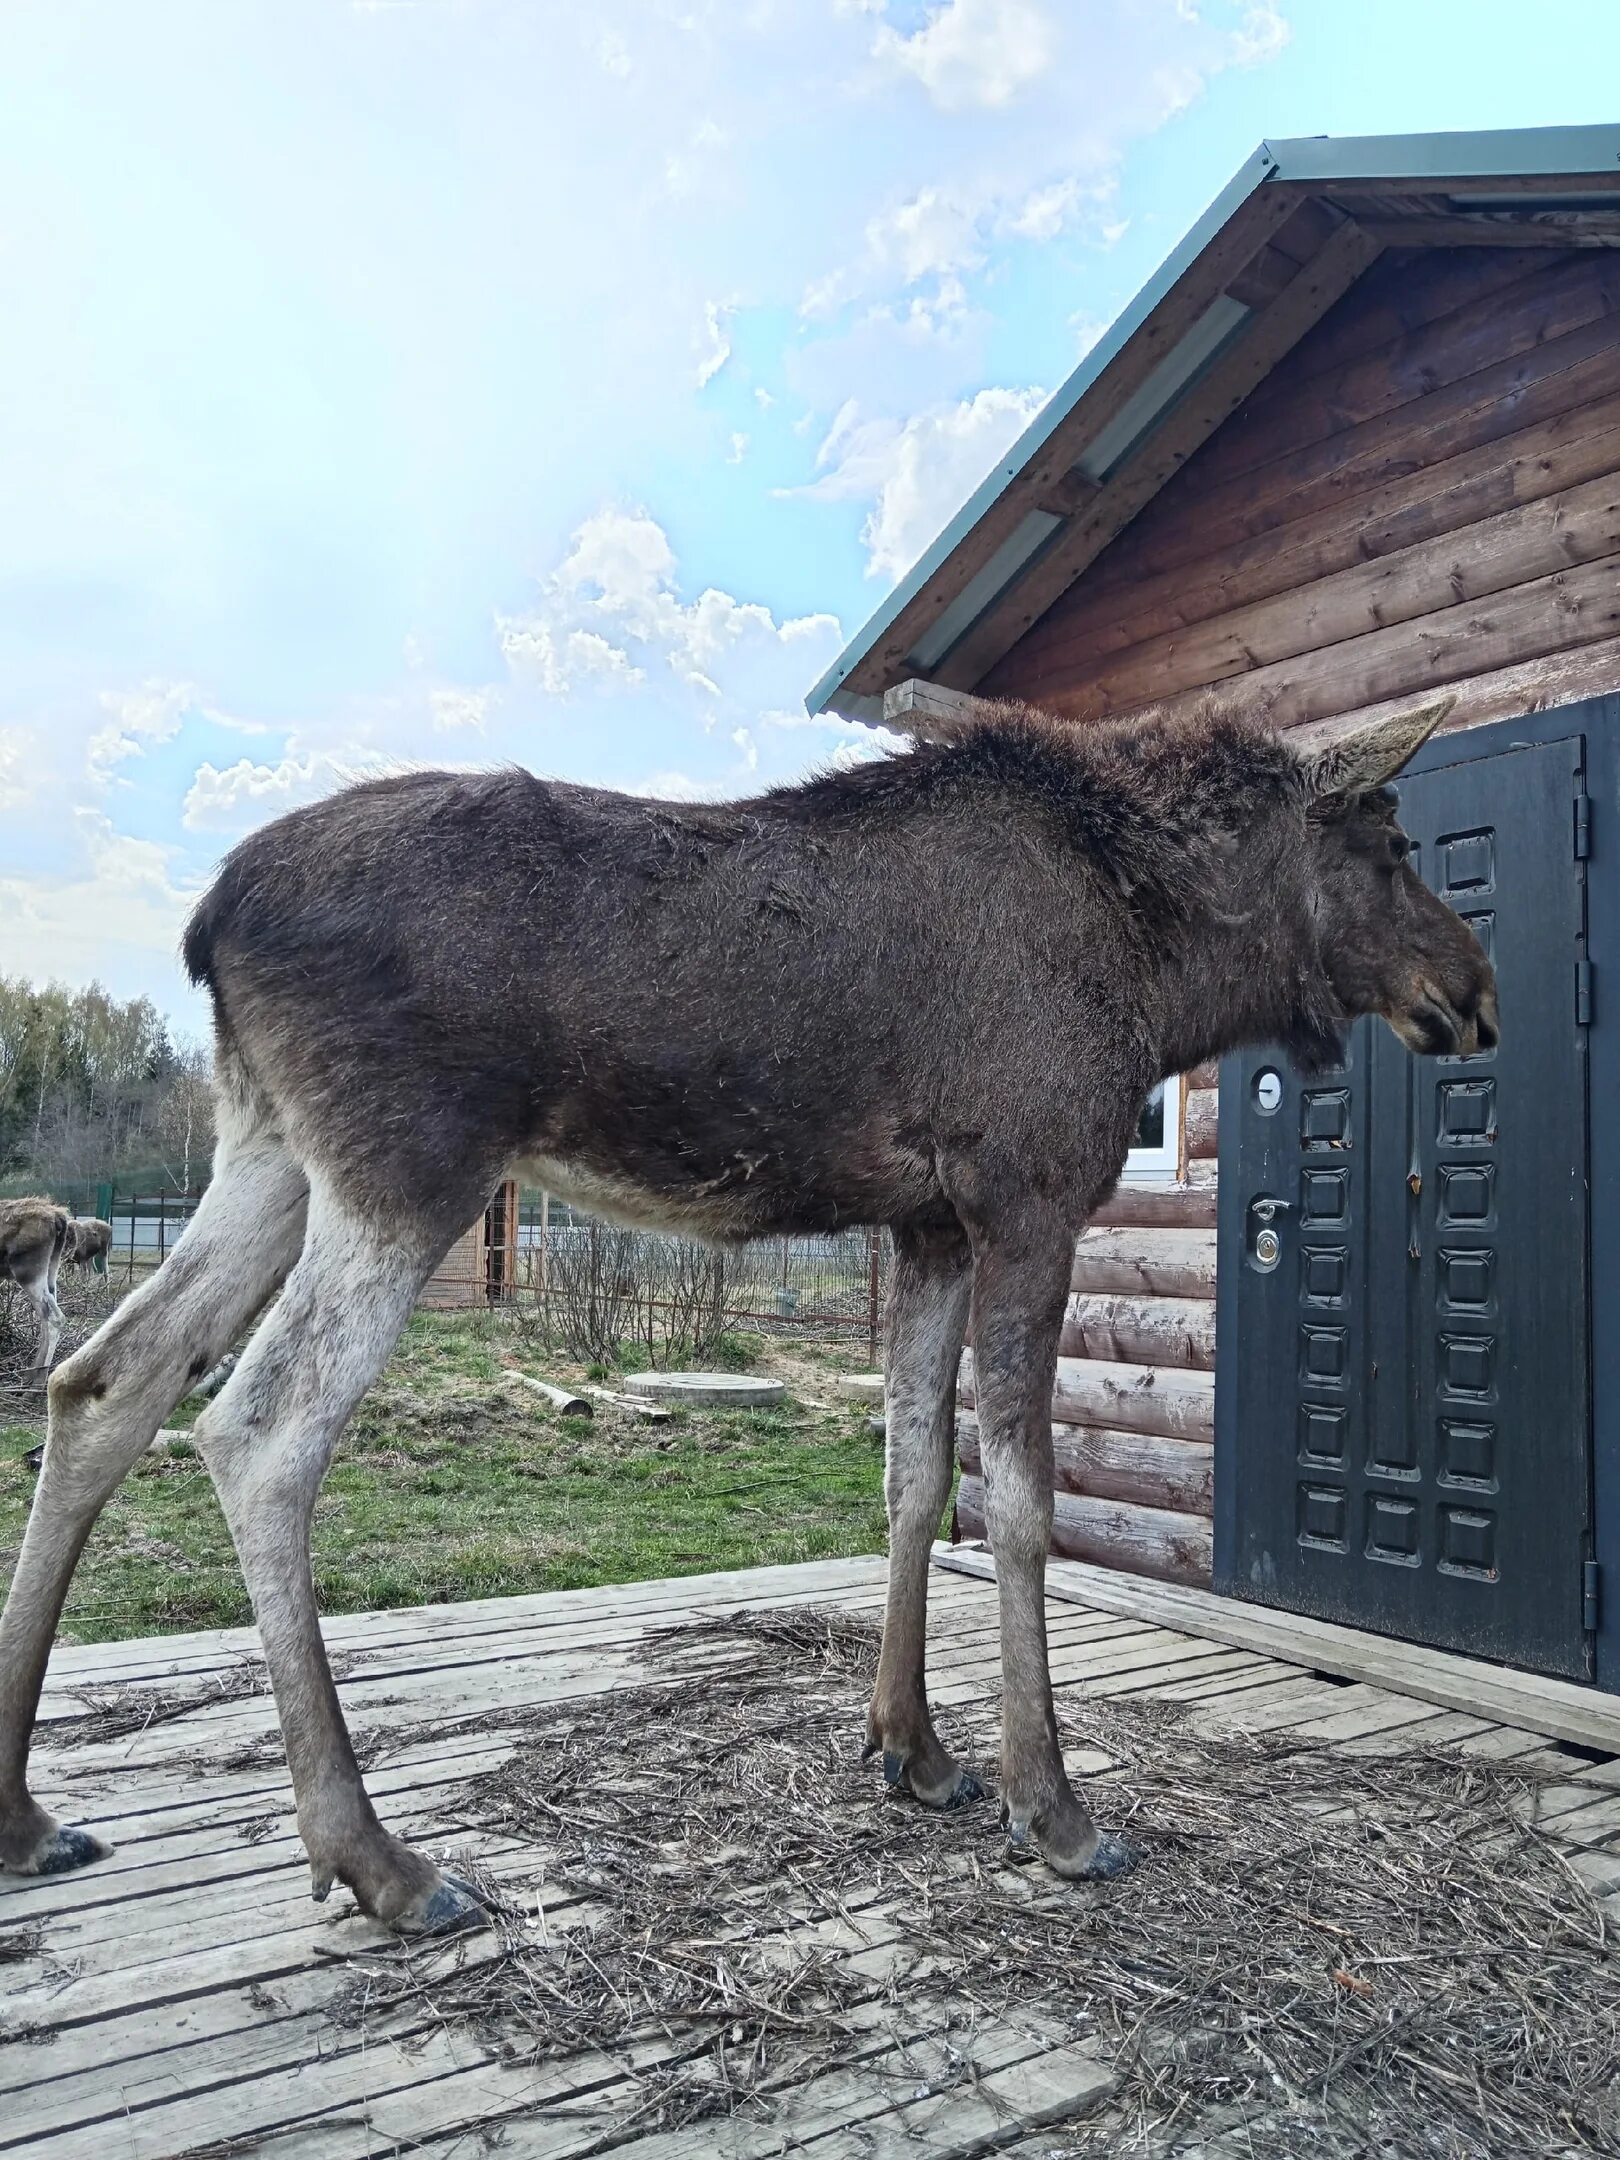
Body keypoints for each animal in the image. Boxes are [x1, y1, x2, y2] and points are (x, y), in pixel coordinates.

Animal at [0, 691, 1494, 1926]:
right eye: (1392, 844)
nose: (1473, 991)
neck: (1165, 962)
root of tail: (207, 920)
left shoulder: (926, 1221)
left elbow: (911, 1470)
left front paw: (913, 1749)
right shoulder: (1027, 1192)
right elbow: (1019, 1497)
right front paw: (1053, 1806)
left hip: (267, 1150)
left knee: (103, 1379)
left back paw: (25, 1810)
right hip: (402, 1166)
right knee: (257, 1431)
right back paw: (380, 1861)